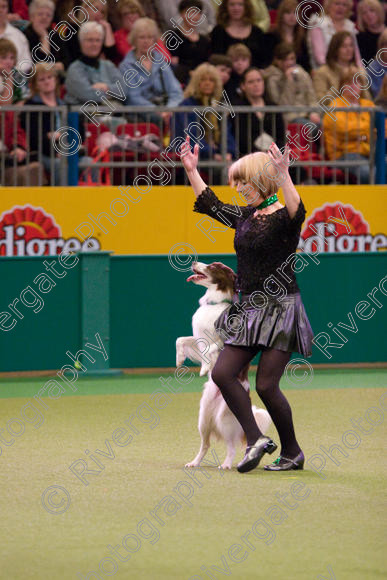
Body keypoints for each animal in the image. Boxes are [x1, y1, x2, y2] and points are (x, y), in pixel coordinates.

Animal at [176, 262, 272, 472]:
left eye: (213, 266)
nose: (194, 262)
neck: (214, 303)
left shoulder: (228, 338)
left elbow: (210, 348)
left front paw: (206, 366)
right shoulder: (198, 338)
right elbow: (182, 340)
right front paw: (182, 360)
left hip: (224, 419)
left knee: (231, 445)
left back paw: (227, 464)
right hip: (203, 419)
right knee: (205, 444)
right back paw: (194, 462)